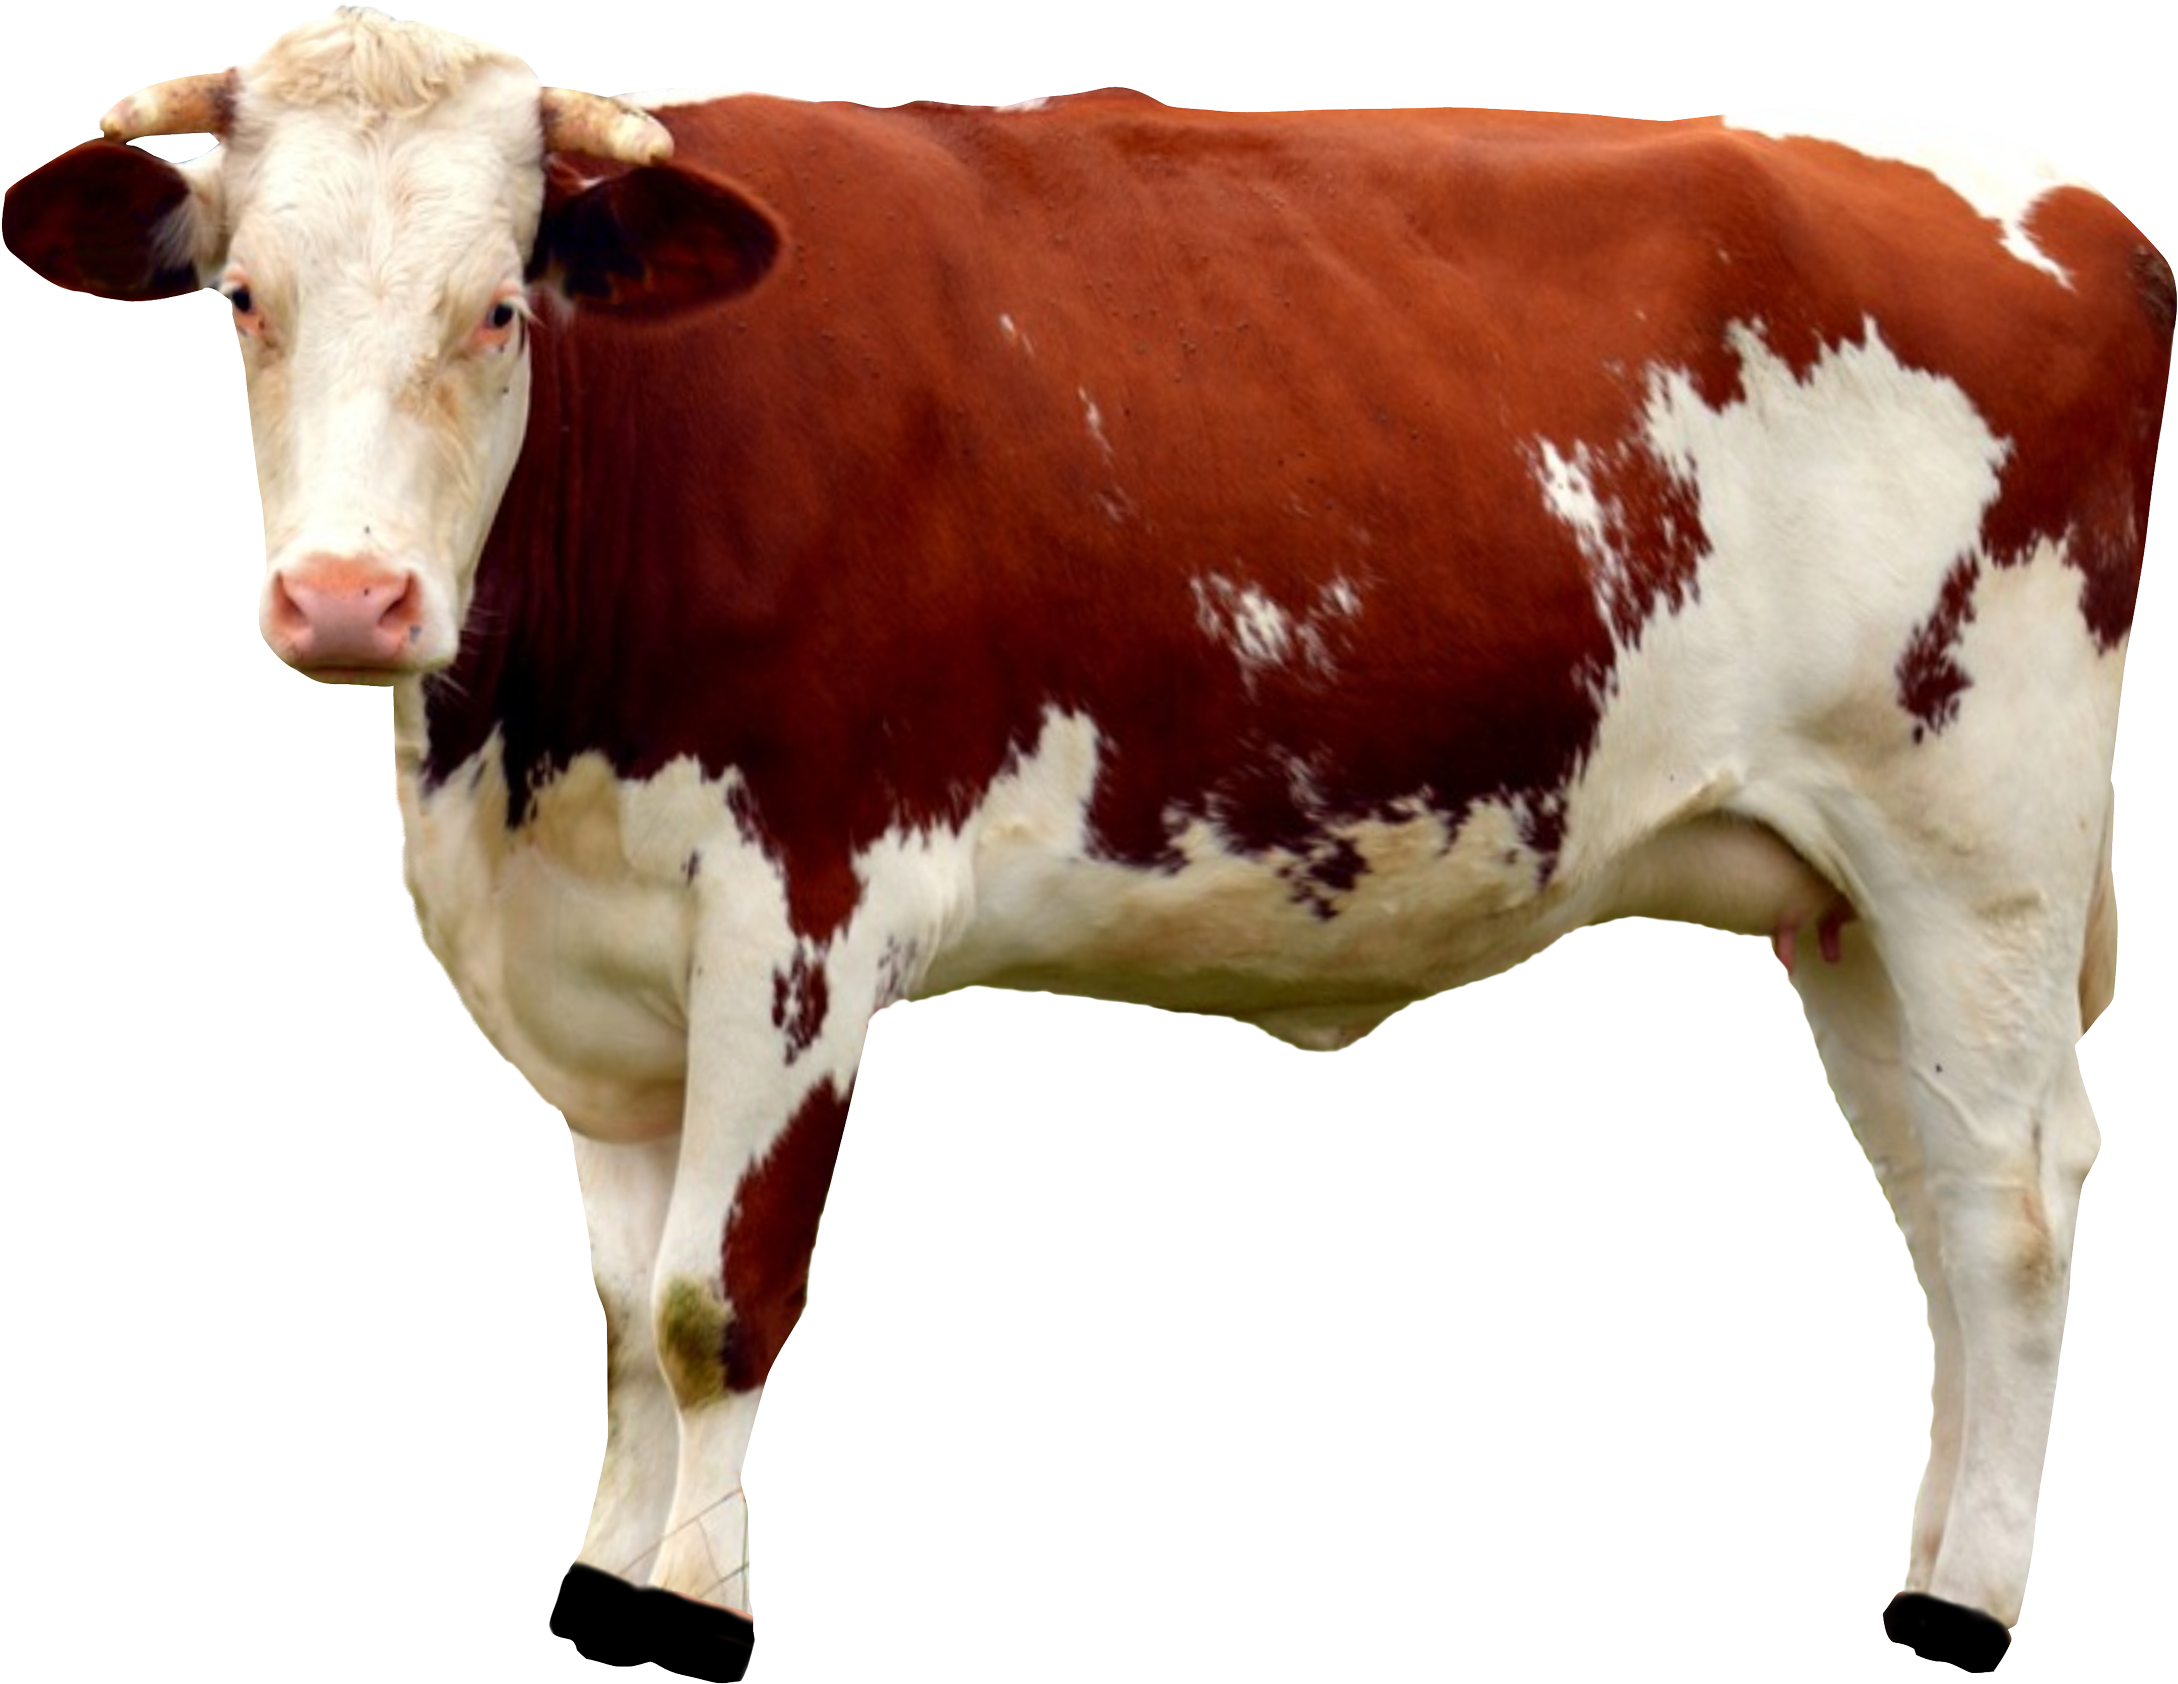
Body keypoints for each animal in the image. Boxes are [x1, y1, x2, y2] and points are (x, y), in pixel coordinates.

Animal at [6, 6, 2165, 1674]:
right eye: (246, 300)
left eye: (495, 304)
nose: (348, 599)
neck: (520, 744)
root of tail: (2059, 200)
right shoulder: (590, 957)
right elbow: (624, 1315)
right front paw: (611, 1572)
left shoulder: (800, 906)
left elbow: (717, 1304)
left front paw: (694, 1605)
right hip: (1844, 899)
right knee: (1933, 1201)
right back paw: (1935, 1557)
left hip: (1978, 843)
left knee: (2012, 1198)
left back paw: (1966, 1607)